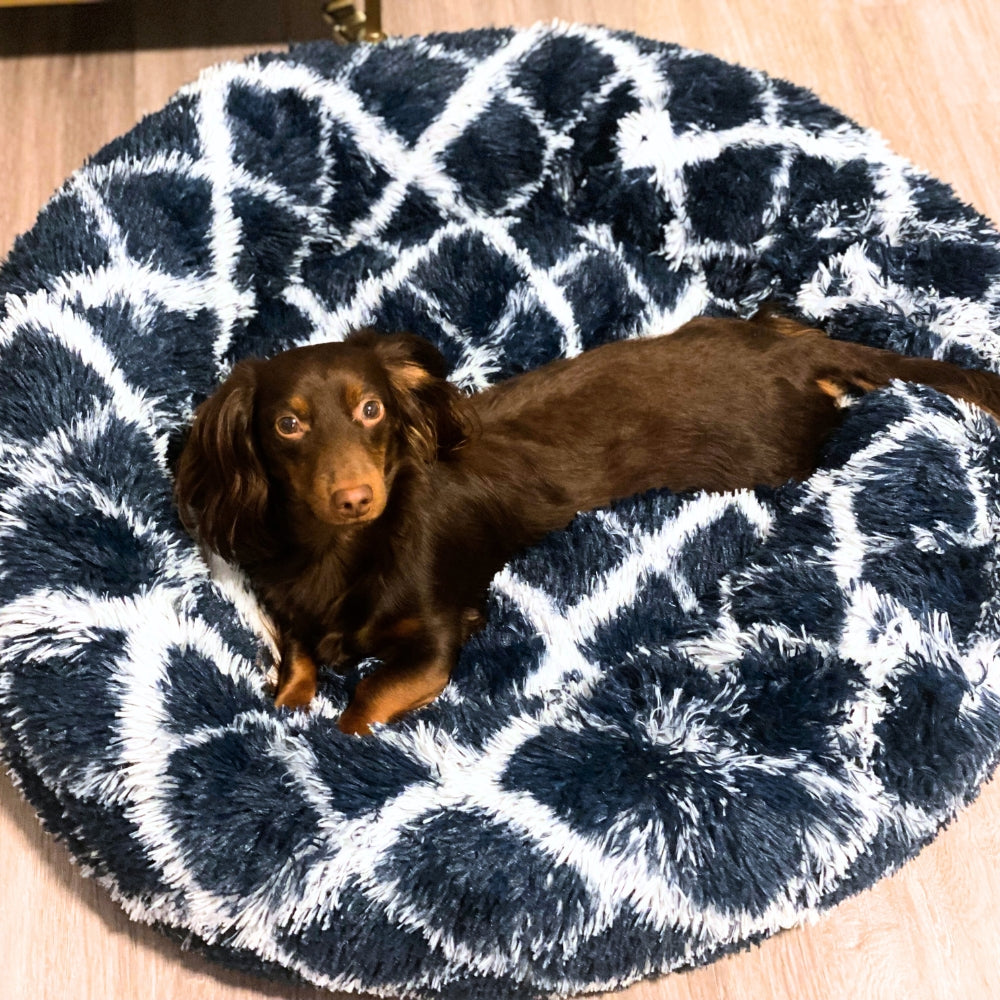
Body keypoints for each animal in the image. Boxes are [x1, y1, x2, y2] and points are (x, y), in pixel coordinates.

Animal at [170, 314, 1000, 736]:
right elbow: (298, 660)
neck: (342, 552)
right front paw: (282, 710)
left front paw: (332, 746)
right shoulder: (288, 610)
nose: (353, 496)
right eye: (288, 424)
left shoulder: (438, 638)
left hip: (776, 457)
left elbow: (368, 697)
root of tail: (798, 359)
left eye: (371, 409)